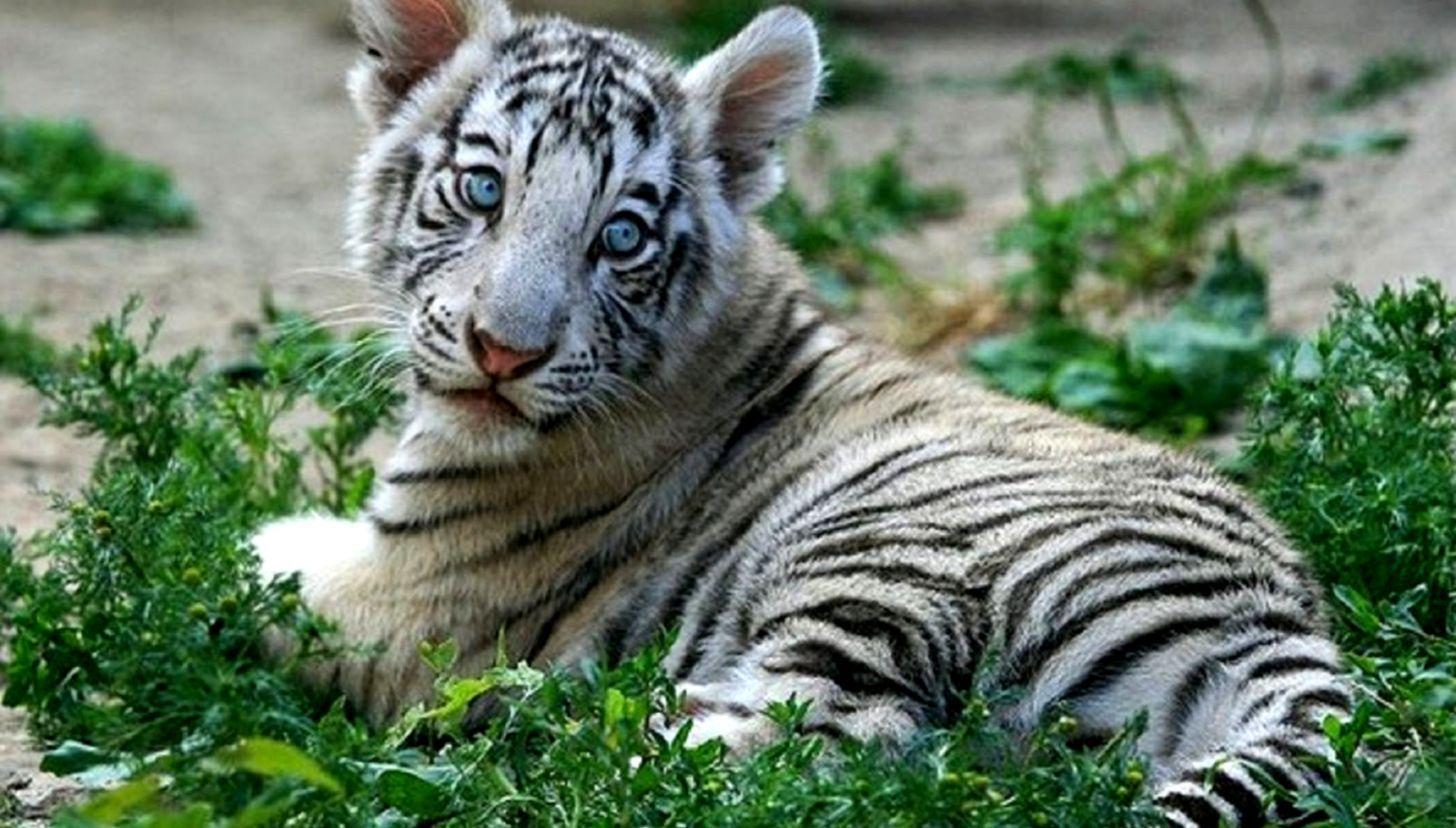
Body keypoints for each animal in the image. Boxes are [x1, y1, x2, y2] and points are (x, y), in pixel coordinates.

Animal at [251, 1, 1353, 824]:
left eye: (620, 237)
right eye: (482, 190)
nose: (505, 352)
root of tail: (1283, 618)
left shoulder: (412, 602)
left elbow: (257, 572)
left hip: (882, 557)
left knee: (821, 743)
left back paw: (565, 741)